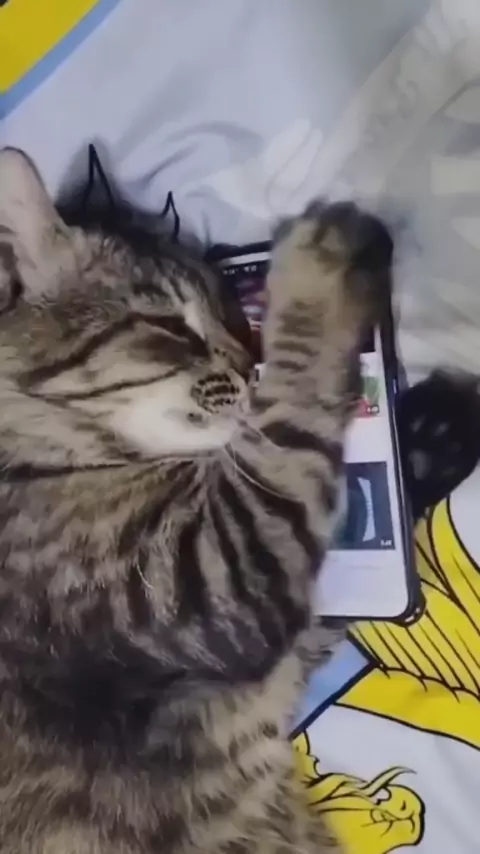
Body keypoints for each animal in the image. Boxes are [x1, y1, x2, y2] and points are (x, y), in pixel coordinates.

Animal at [0, 148, 392, 854]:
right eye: (167, 325)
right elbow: (293, 421)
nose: (245, 363)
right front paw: (320, 259)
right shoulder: (215, 578)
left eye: (232, 314)